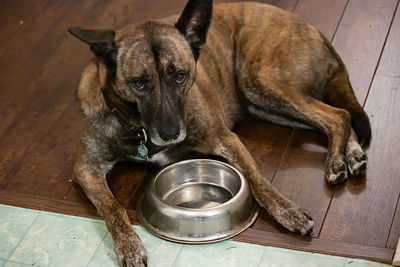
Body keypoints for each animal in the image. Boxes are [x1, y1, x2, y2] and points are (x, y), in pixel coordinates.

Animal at [69, 1, 372, 266]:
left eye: (180, 75)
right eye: (139, 83)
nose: (170, 134)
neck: (137, 125)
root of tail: (312, 28)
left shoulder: (227, 140)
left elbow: (258, 181)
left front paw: (288, 211)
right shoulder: (86, 168)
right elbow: (112, 207)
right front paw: (129, 246)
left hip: (260, 82)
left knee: (337, 115)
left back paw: (337, 160)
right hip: (265, 103)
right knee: (335, 117)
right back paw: (351, 155)